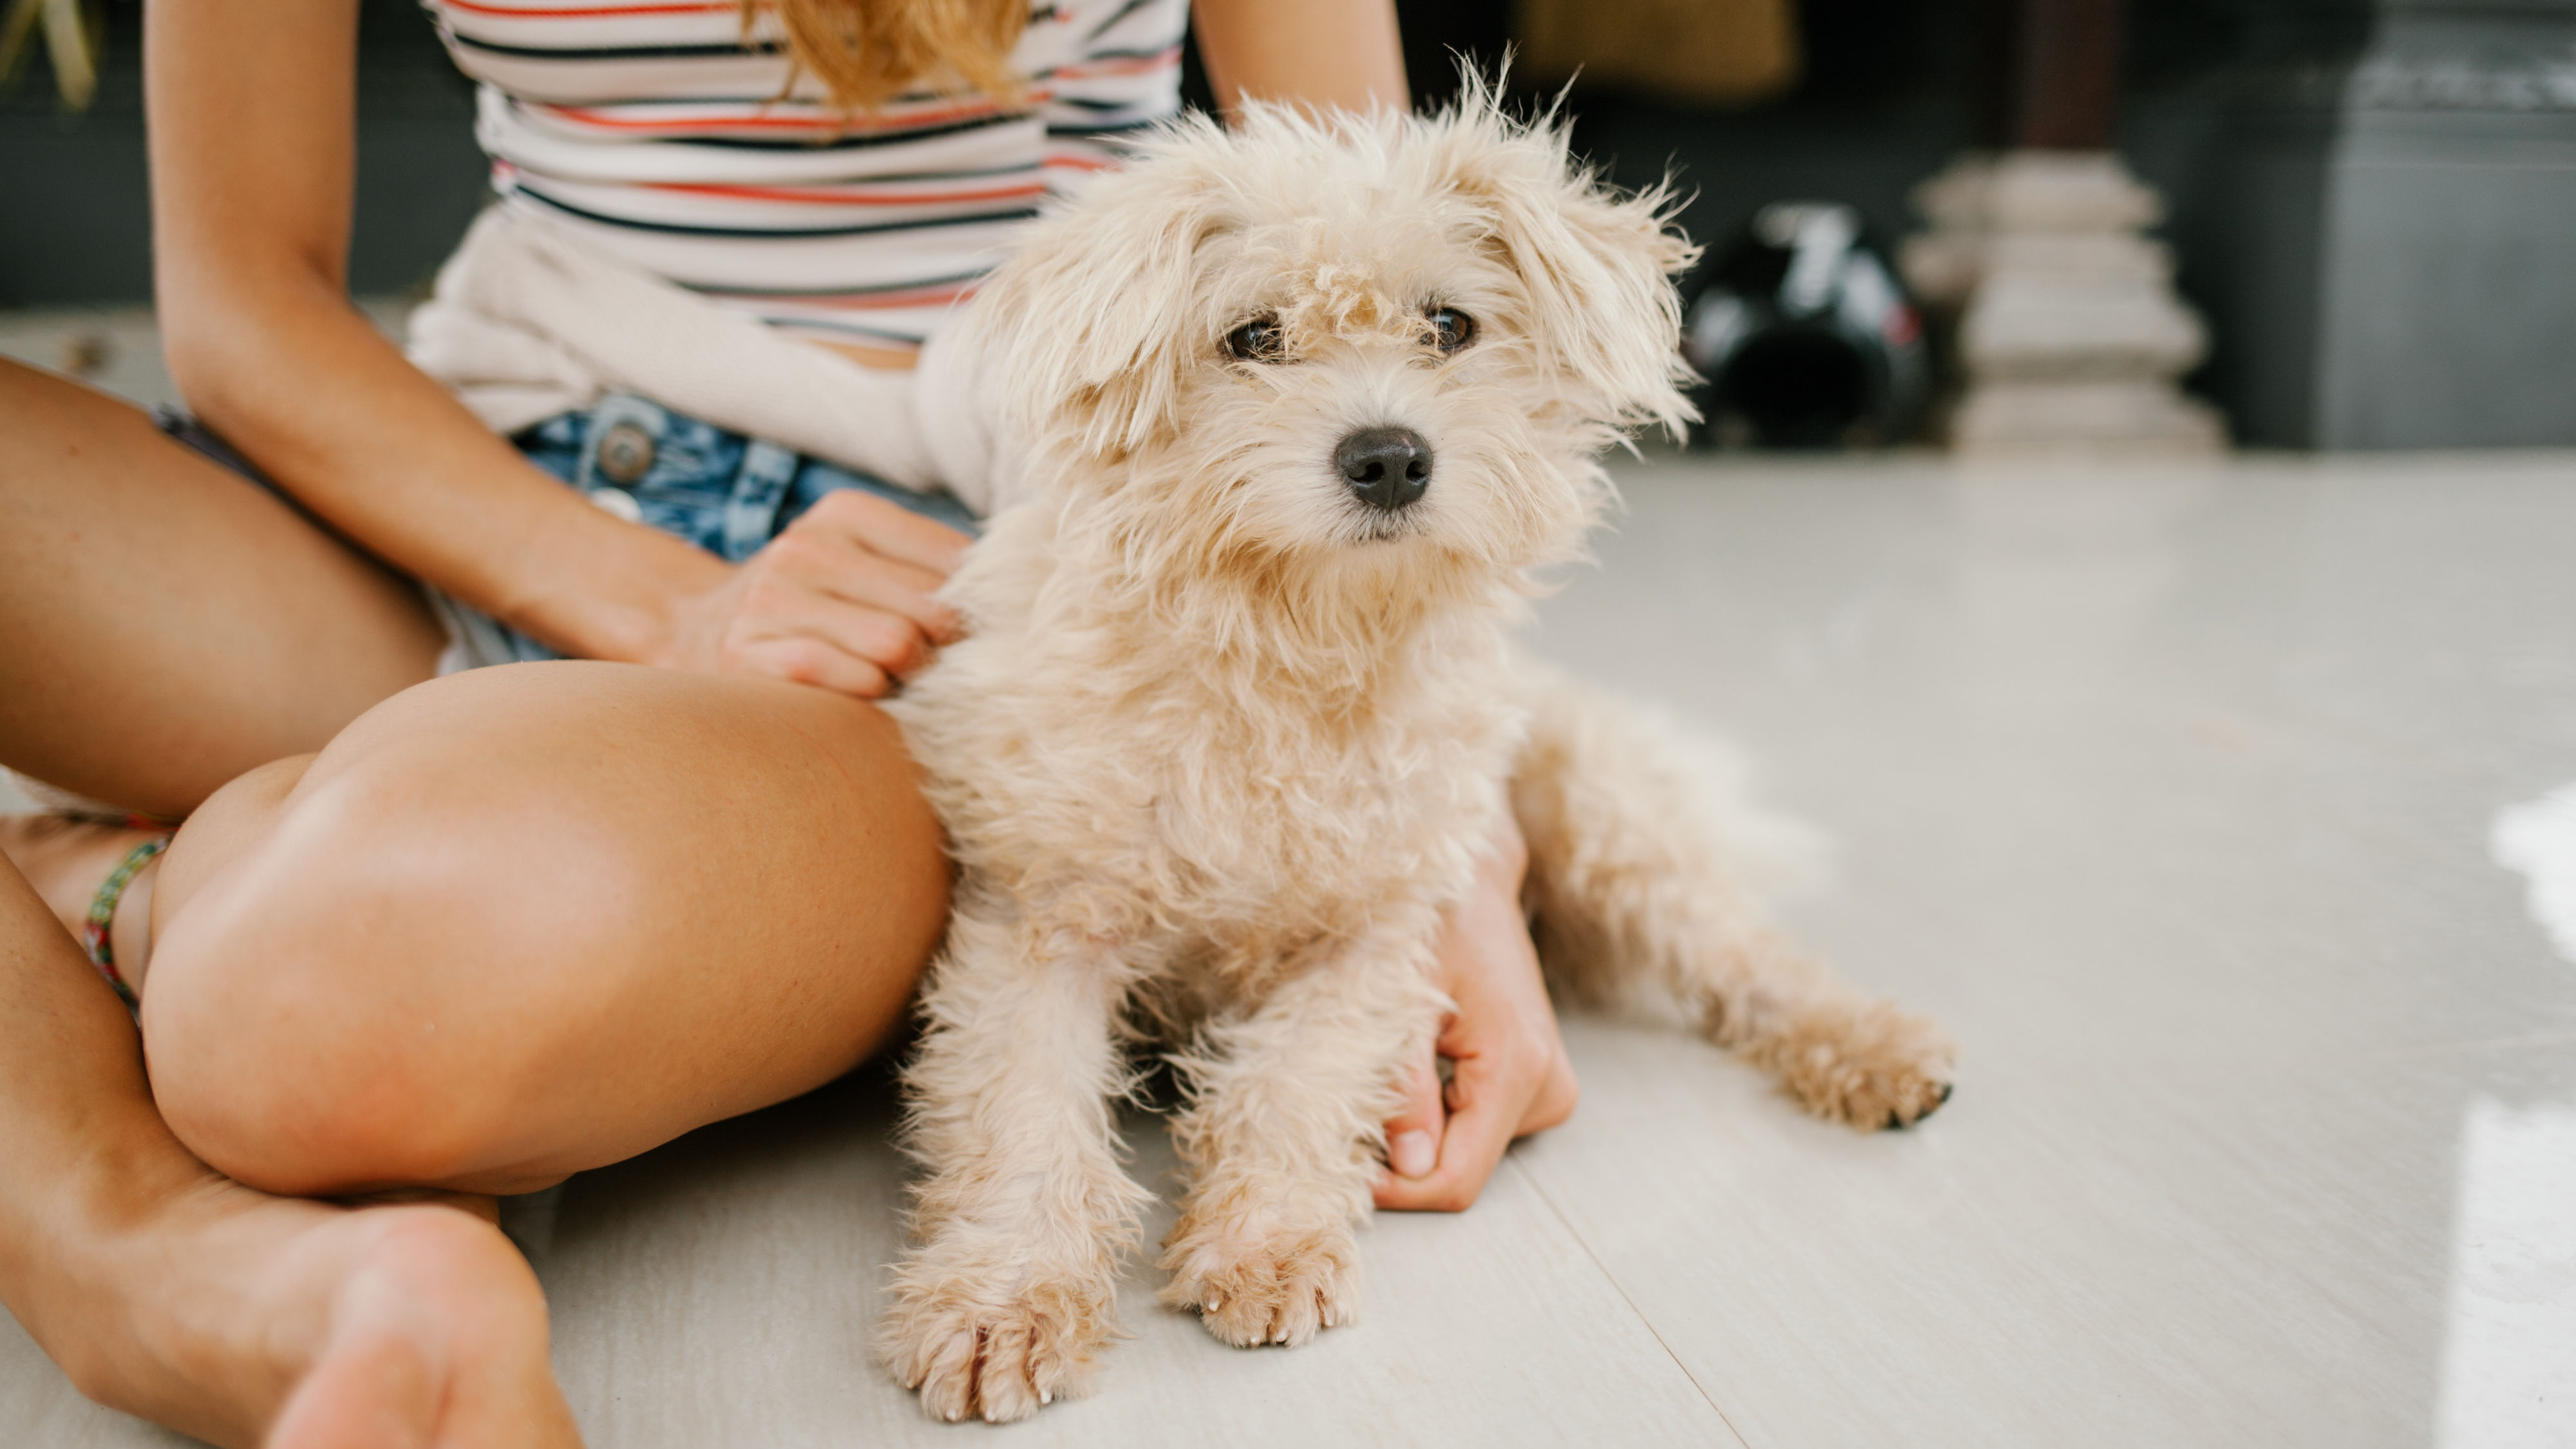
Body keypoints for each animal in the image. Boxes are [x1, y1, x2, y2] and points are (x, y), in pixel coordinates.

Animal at [881, 93, 1947, 1423]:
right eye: (1254, 336)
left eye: (1450, 325)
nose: (1389, 456)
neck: (1293, 650)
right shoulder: (1042, 922)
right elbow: (1025, 1120)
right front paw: (1006, 1301)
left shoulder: (1378, 931)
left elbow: (1293, 1080)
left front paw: (1267, 1245)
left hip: (1601, 821)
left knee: (1749, 960)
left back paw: (1874, 1050)